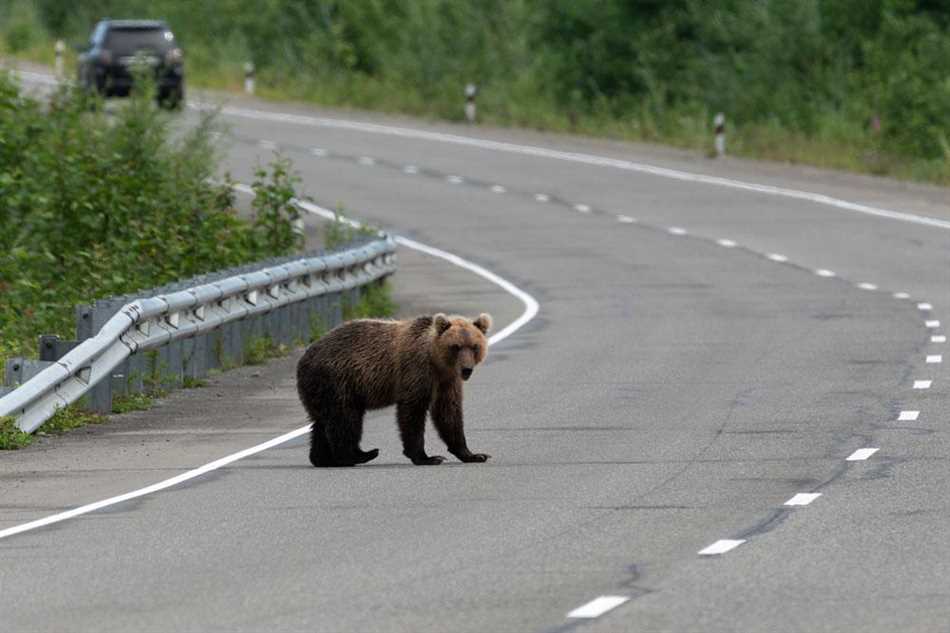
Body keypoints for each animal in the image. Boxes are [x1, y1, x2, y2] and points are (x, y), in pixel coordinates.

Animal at [296, 312, 490, 464]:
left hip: (323, 389)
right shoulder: (416, 371)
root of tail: (302, 360)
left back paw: (323, 459)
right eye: (456, 346)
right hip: (337, 380)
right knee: (344, 419)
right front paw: (427, 457)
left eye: (474, 346)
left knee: (323, 423)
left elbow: (448, 413)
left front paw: (473, 454)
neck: (437, 362)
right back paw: (355, 456)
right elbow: (412, 411)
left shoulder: (447, 381)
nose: (466, 369)